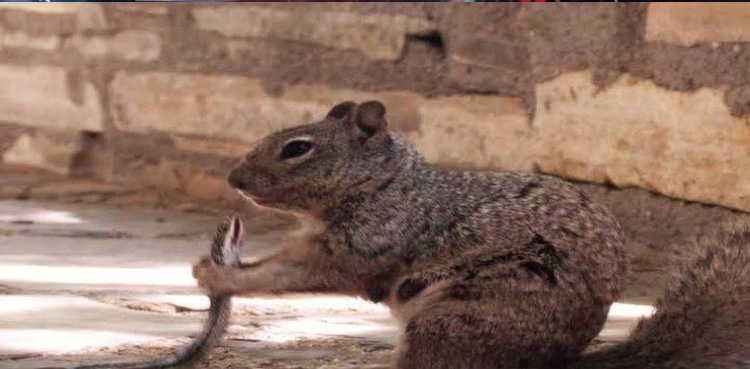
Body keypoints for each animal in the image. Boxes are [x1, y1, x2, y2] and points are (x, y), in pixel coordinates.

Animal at [194, 100, 750, 368]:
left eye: (297, 148)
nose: (234, 180)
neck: (387, 184)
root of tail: (546, 364)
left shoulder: (369, 240)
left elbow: (296, 271)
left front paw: (218, 277)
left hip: (455, 319)